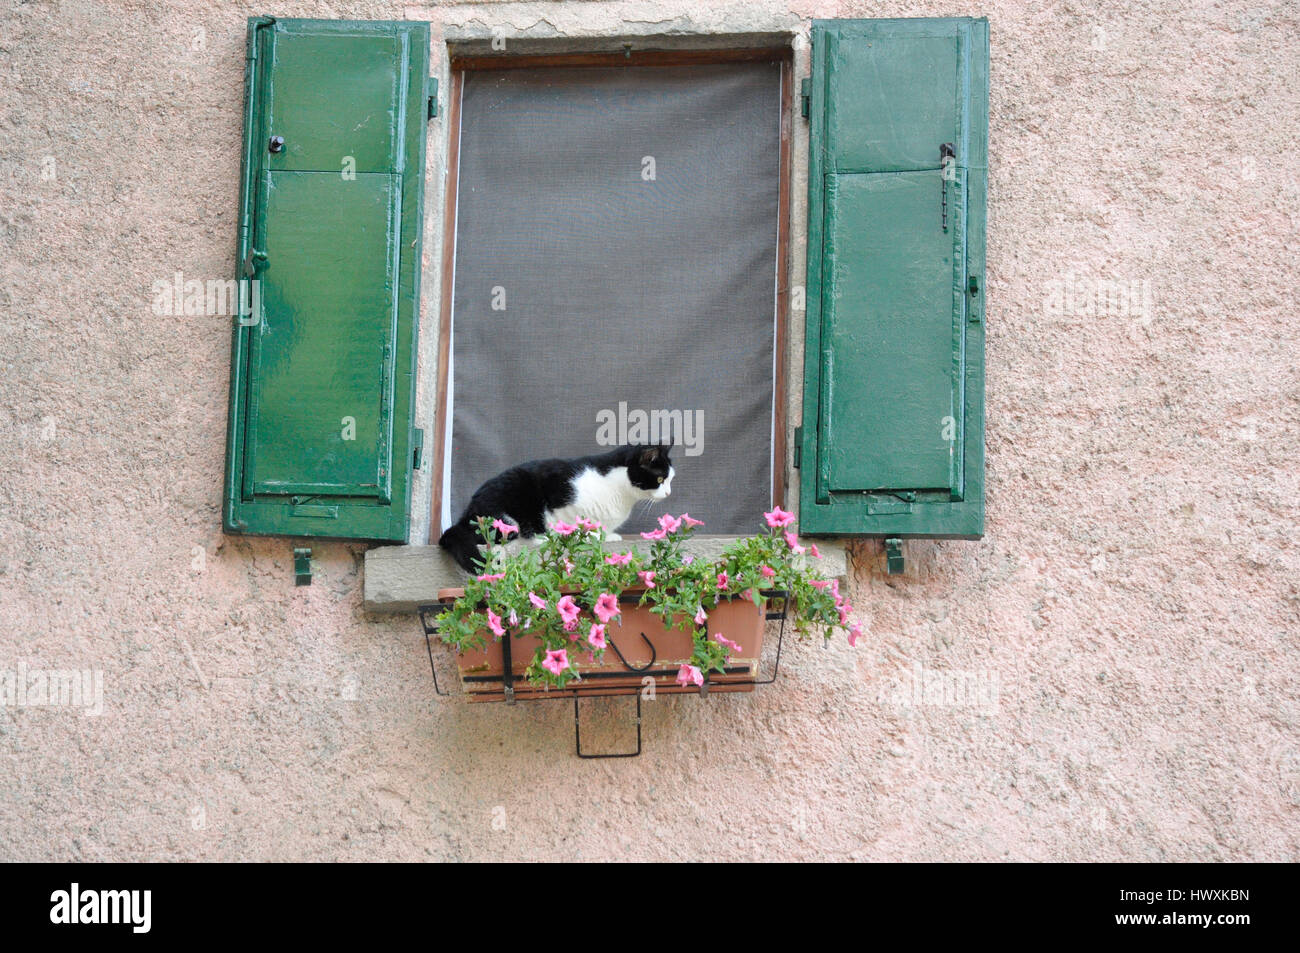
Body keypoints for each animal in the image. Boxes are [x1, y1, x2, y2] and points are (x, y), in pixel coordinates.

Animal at [441, 447, 676, 572]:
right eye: (660, 479)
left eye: (670, 479)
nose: (669, 493)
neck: (621, 492)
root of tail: (465, 516)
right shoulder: (558, 491)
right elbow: (572, 521)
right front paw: (586, 535)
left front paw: (607, 536)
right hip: (506, 514)